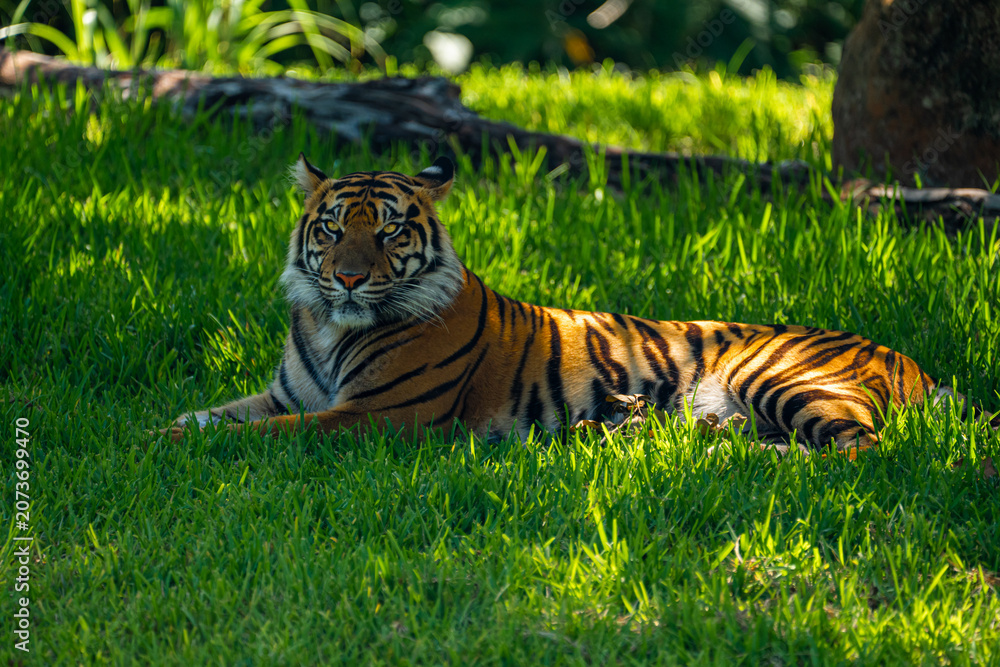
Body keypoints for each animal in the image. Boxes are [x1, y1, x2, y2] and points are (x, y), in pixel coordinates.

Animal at [163, 155, 982, 452]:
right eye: (332, 228)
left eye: (389, 230)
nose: (351, 279)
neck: (332, 325)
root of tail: (913, 362)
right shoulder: (284, 393)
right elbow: (212, 413)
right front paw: (162, 429)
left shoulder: (380, 414)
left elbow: (264, 434)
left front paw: (173, 448)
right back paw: (631, 434)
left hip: (780, 378)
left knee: (853, 449)